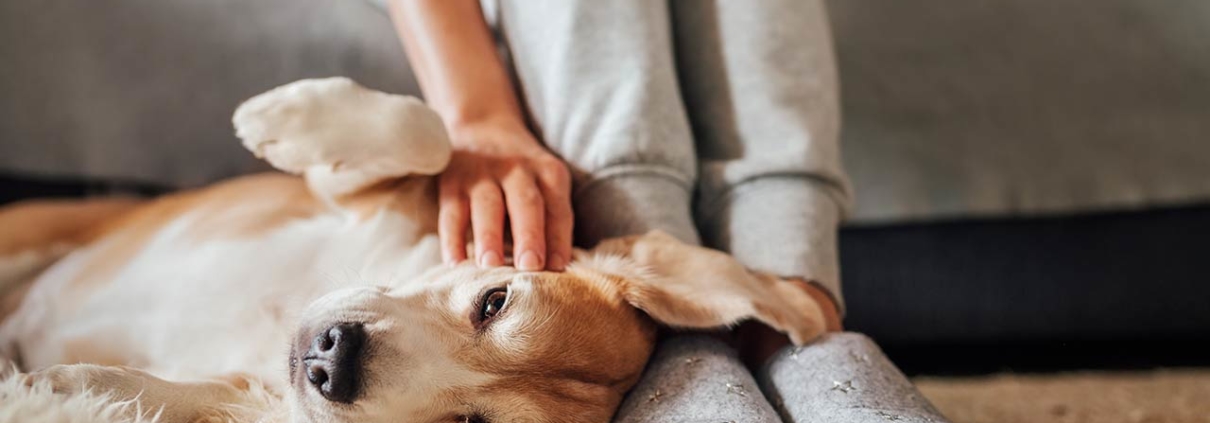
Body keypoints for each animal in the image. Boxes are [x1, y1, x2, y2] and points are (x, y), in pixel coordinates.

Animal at [0, 77, 827, 420]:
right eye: (495, 300)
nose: (332, 360)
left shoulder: (256, 393)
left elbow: (178, 395)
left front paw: (62, 387)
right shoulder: (362, 194)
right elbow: (426, 132)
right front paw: (283, 118)